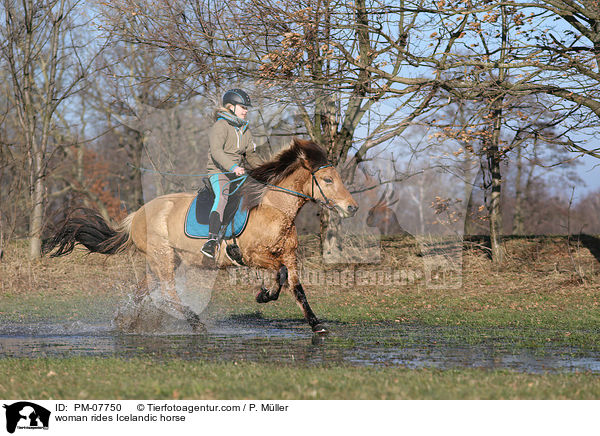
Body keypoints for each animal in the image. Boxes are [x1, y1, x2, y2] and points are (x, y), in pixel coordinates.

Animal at [45, 140, 360, 334]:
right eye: (328, 180)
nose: (352, 208)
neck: (275, 209)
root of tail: (137, 215)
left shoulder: (290, 256)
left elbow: (297, 289)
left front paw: (316, 324)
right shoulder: (252, 256)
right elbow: (279, 275)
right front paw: (264, 294)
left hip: (165, 261)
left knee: (142, 291)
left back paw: (126, 323)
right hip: (163, 258)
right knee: (168, 293)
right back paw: (194, 323)